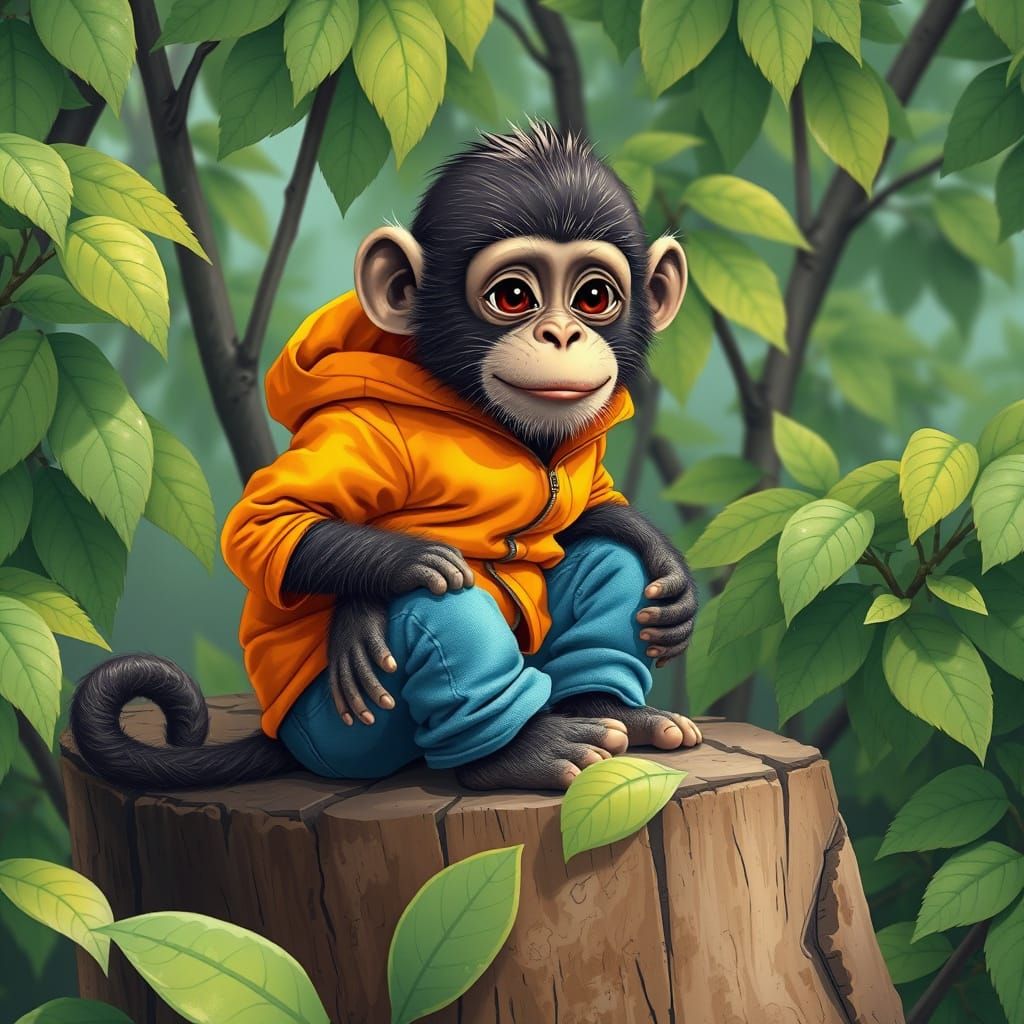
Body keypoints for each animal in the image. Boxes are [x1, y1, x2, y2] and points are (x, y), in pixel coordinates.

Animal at [70, 121, 700, 793]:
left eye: (594, 296)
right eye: (512, 296)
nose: (561, 334)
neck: (488, 418)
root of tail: (283, 740)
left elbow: (594, 512)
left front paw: (664, 558)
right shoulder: (367, 427)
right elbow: (270, 524)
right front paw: (393, 567)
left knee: (607, 561)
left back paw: (611, 710)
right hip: (341, 737)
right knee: (439, 601)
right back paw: (520, 748)